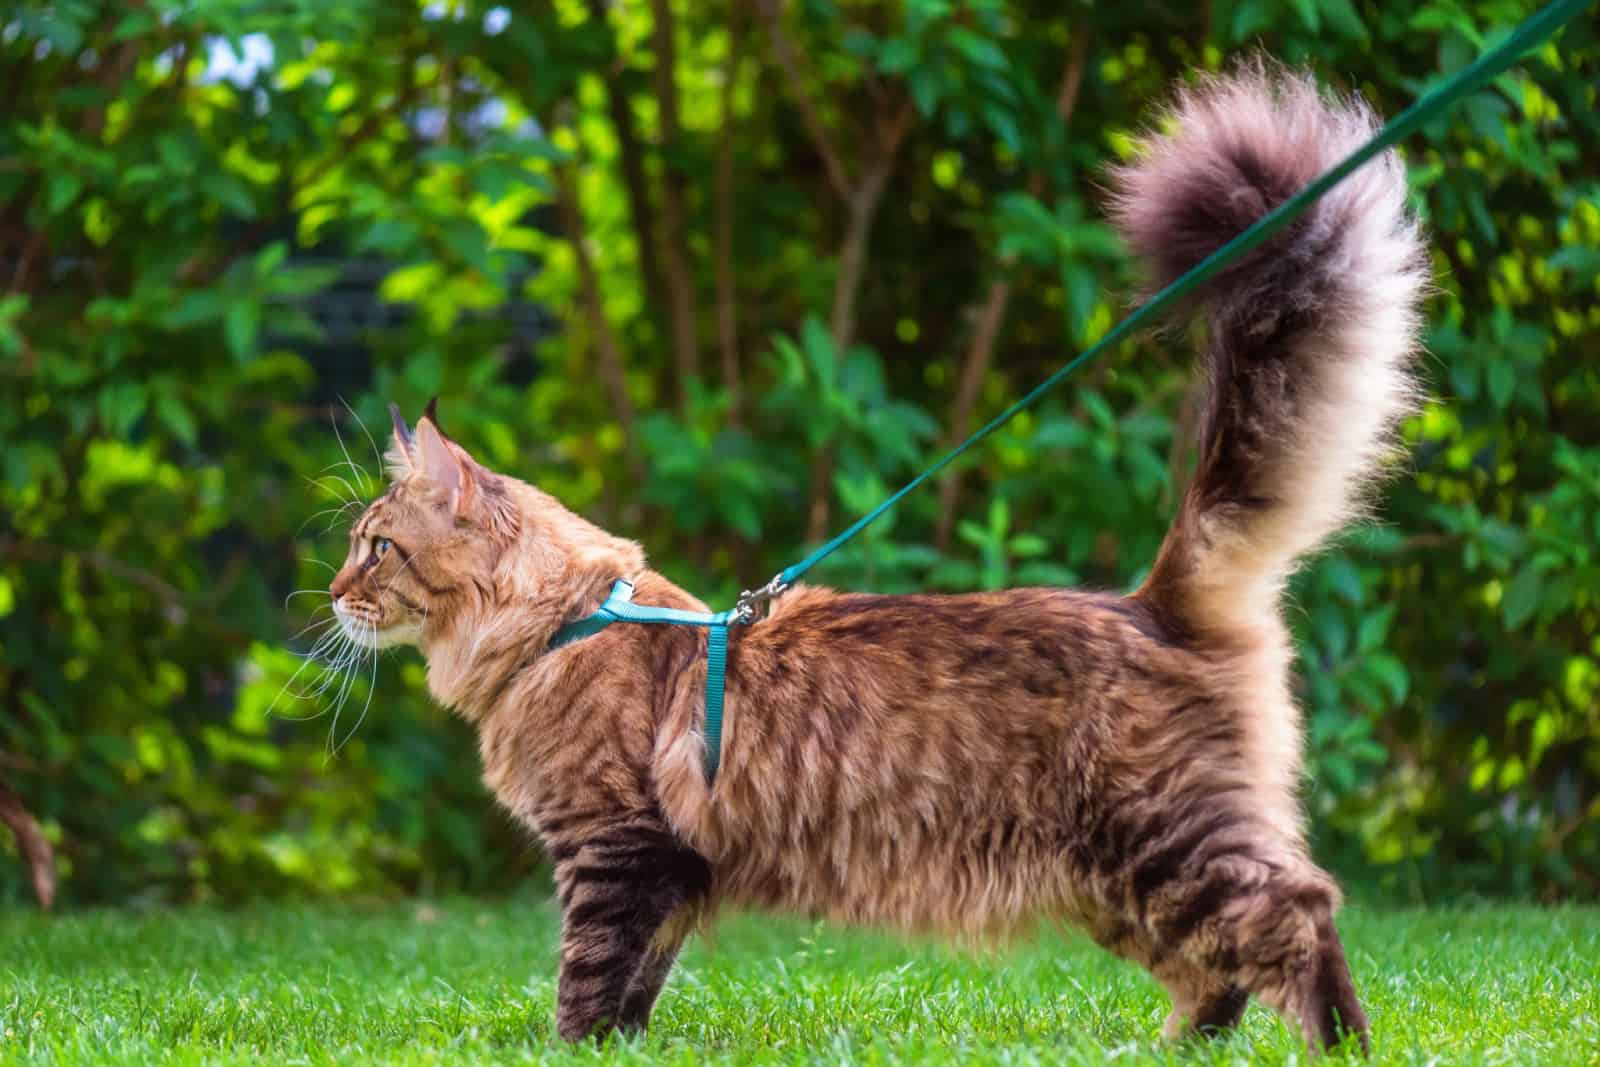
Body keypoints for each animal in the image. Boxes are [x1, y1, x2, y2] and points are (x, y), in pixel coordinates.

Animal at [328, 64, 1427, 1049]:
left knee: (1297, 911)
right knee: (1218, 968)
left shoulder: (614, 847)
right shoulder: (671, 866)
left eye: (376, 548)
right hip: (1115, 878)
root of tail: (1150, 600)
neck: (564, 626)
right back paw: (1170, 1046)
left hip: (1164, 837)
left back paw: (1338, 1042)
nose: (333, 592)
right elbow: (638, 984)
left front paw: (571, 1046)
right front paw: (621, 1042)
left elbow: (587, 976)